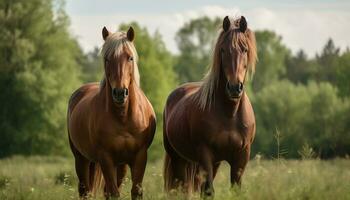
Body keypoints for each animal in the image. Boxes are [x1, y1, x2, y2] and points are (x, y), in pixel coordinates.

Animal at [67, 27, 155, 200]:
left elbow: (135, 191)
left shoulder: (139, 157)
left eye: (130, 58)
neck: (123, 118)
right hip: (81, 158)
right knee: (85, 190)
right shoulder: (105, 158)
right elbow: (114, 193)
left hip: (119, 165)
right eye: (107, 59)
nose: (120, 93)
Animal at [163, 16, 258, 198]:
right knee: (181, 188)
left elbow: (235, 190)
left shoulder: (241, 157)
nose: (234, 88)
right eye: (223, 50)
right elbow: (208, 192)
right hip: (178, 159)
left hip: (213, 163)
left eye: (244, 49)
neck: (229, 114)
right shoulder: (205, 154)